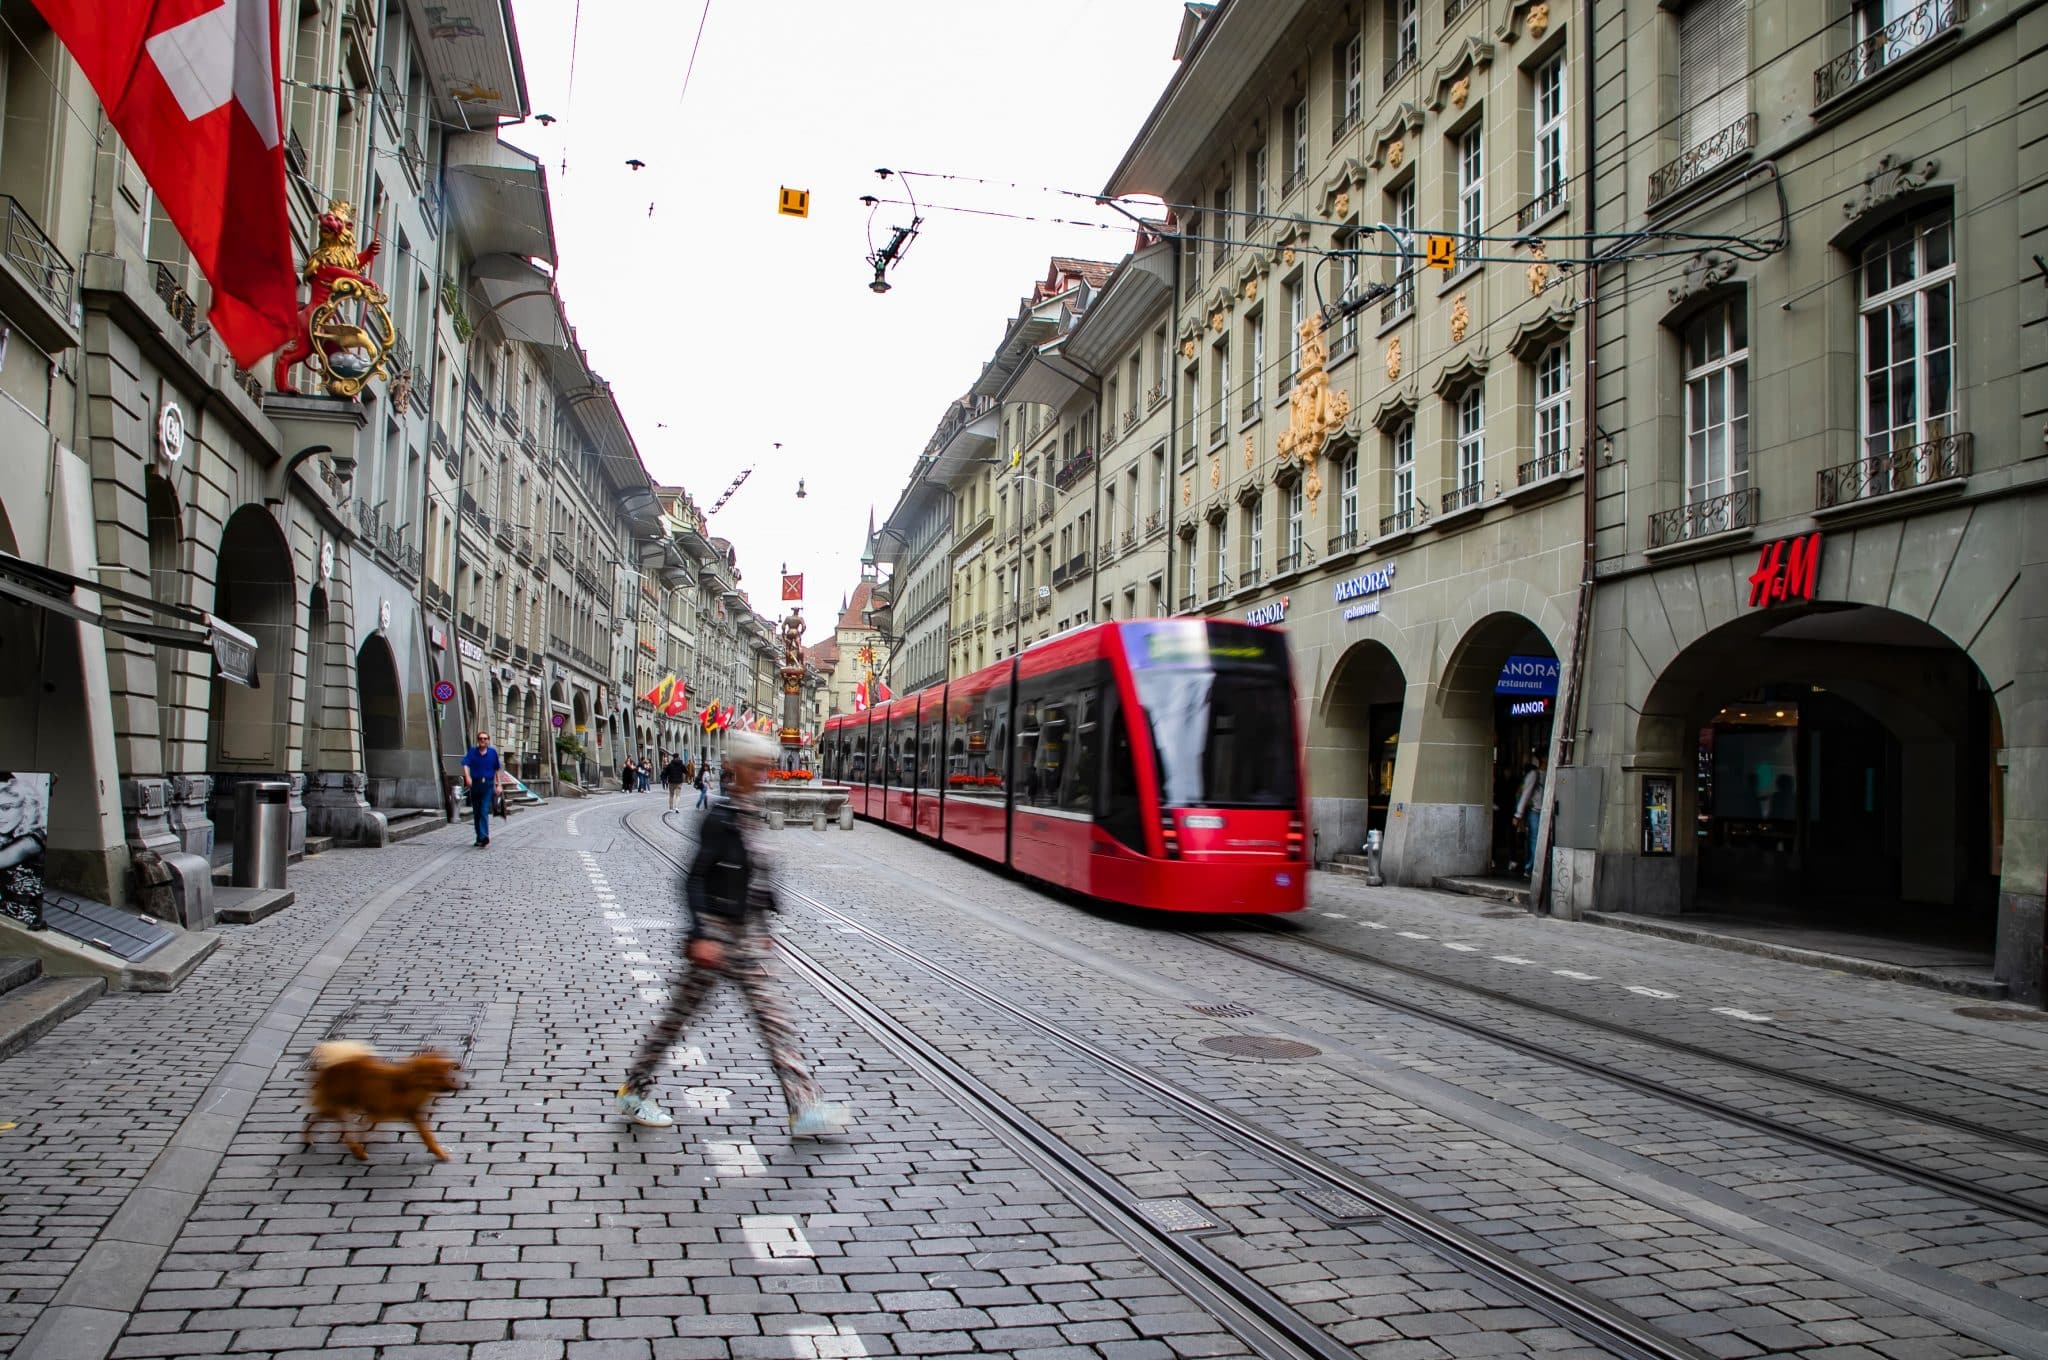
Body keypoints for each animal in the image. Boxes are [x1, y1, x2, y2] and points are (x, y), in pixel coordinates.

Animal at [299, 1040, 460, 1155]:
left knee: (331, 1123)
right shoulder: (393, 1111)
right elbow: (427, 1135)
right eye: (437, 1077)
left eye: (447, 1075)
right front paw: (439, 1152)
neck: (411, 1085)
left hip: (345, 1106)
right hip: (339, 1106)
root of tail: (328, 1068)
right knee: (318, 1121)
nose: (454, 1088)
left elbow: (367, 1127)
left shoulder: (390, 1112)